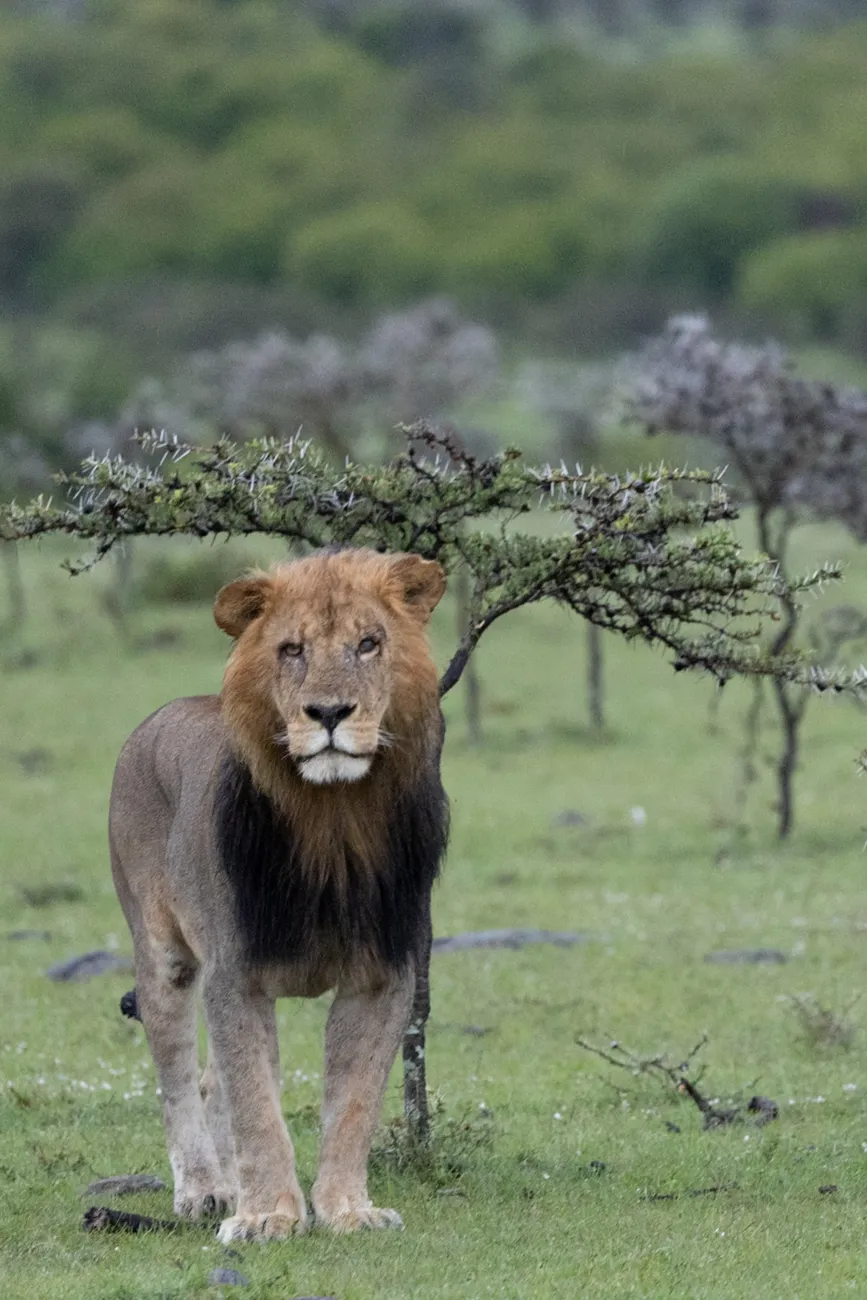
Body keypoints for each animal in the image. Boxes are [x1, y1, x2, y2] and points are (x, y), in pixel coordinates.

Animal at [109, 547, 448, 1242]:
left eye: (369, 643)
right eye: (292, 649)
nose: (329, 713)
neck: (334, 821)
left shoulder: (384, 976)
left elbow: (353, 1105)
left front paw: (347, 1209)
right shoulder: (234, 972)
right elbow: (256, 1106)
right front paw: (267, 1216)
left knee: (212, 1086)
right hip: (164, 956)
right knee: (178, 1080)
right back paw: (205, 1190)